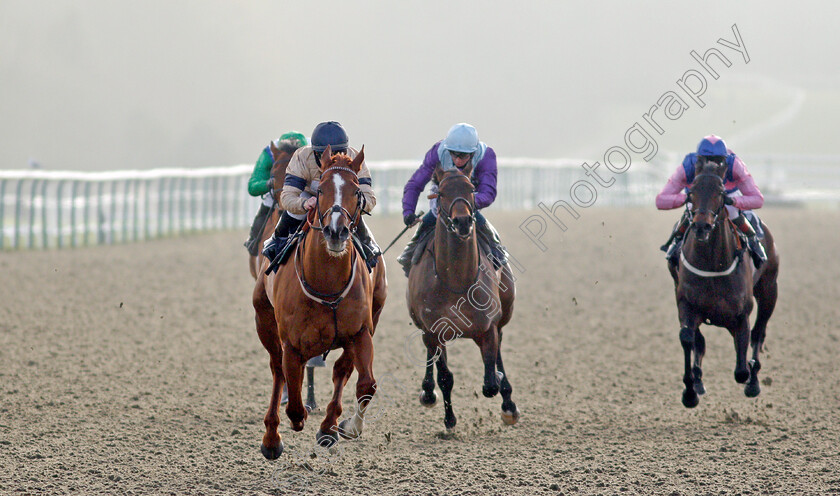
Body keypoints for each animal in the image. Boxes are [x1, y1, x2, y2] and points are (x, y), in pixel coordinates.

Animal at [253, 143, 388, 458]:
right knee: (277, 370)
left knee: (341, 371)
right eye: (322, 189)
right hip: (263, 319)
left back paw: (328, 427)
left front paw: (347, 427)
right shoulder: (291, 343)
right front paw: (294, 420)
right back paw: (272, 438)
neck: (327, 282)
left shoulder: (360, 332)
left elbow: (366, 384)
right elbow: (292, 394)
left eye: (356, 191)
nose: (336, 232)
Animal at [406, 165, 520, 428]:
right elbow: (445, 377)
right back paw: (428, 392)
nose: (463, 221)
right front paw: (449, 418)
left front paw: (501, 387)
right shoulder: (434, 330)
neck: (456, 280)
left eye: (470, 188)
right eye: (442, 193)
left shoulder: (487, 327)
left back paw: (508, 403)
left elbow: (490, 382)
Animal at [668, 161, 780, 408]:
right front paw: (690, 391)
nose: (701, 226)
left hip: (769, 290)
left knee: (758, 332)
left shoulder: (741, 313)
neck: (712, 264)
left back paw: (753, 381)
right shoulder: (686, 303)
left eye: (720, 192)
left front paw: (749, 375)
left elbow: (741, 367)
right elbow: (688, 338)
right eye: (691, 192)